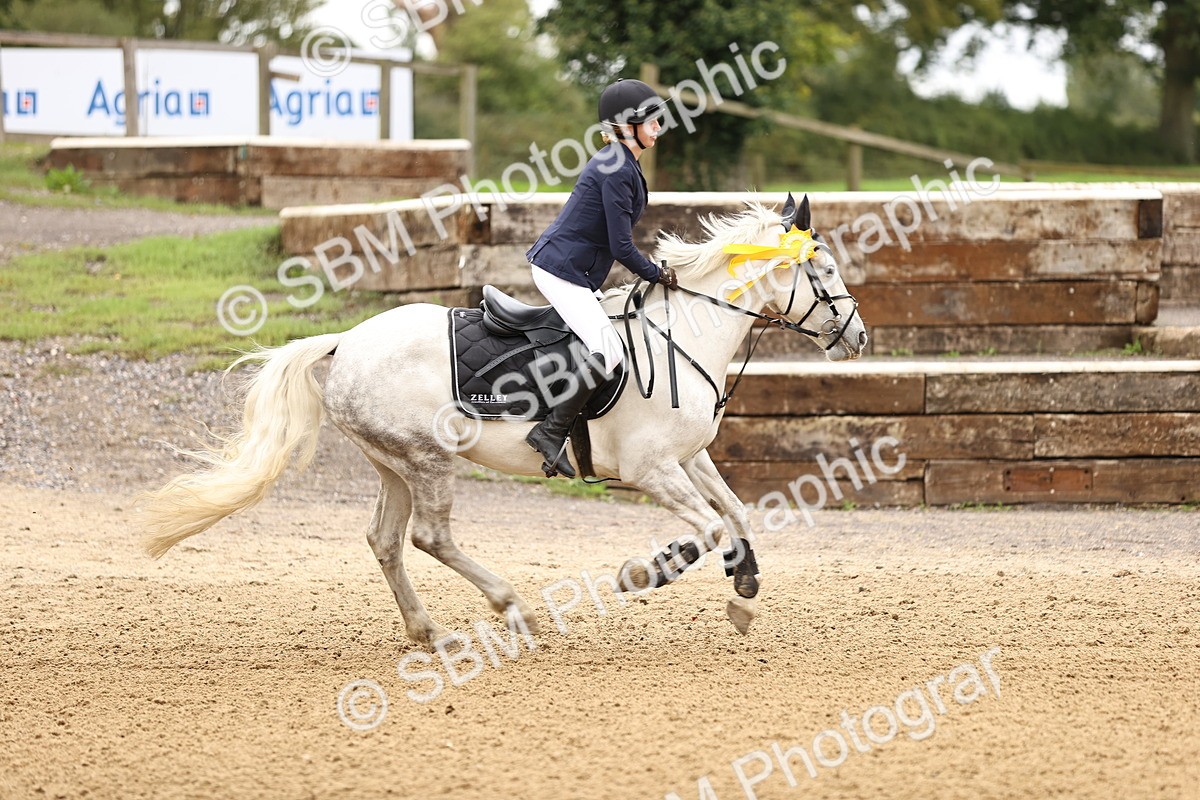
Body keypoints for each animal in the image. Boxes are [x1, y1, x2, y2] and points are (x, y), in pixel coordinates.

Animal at [139, 194, 868, 645]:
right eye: (826, 270)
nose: (858, 337)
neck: (683, 333)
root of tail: (346, 340)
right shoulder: (651, 468)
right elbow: (708, 527)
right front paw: (648, 571)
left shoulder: (689, 457)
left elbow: (736, 512)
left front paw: (743, 583)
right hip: (428, 458)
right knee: (429, 538)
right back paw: (511, 607)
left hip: (393, 464)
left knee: (385, 540)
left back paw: (428, 632)